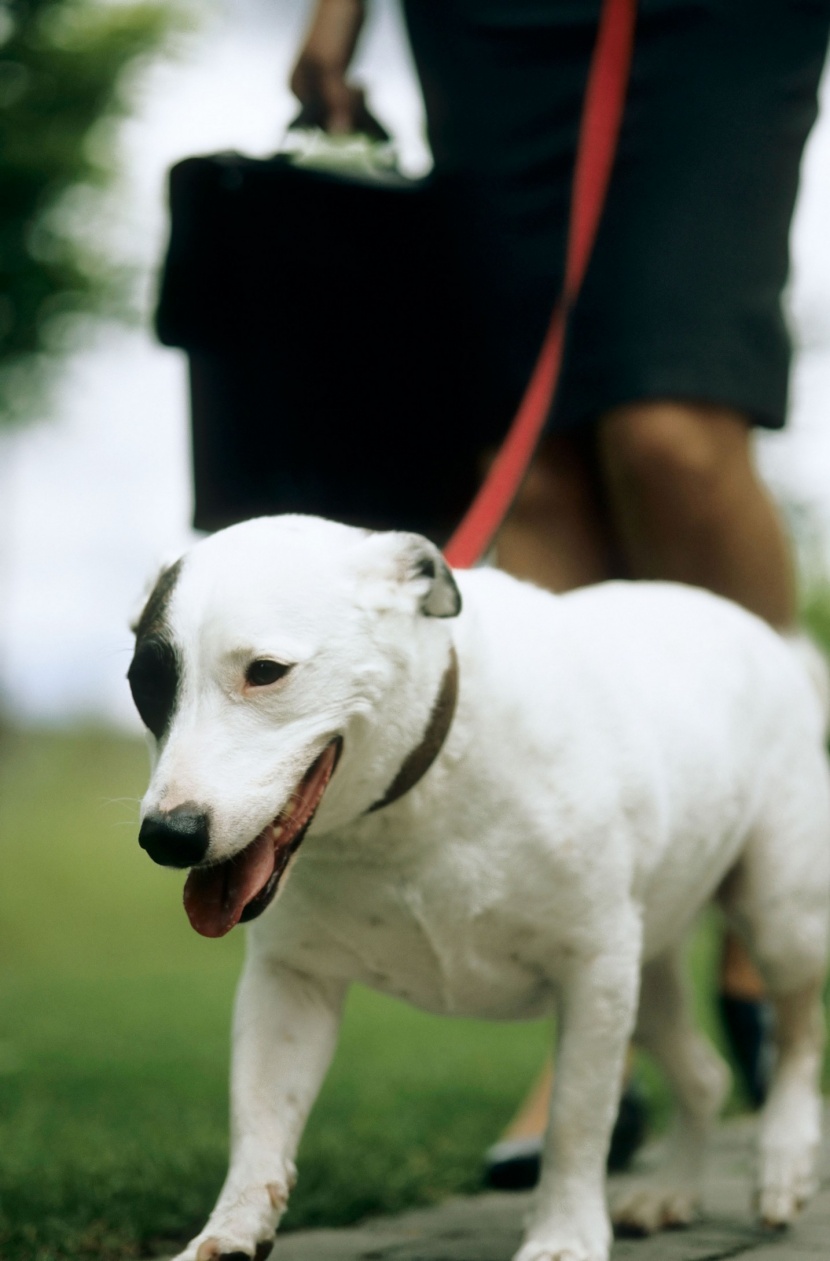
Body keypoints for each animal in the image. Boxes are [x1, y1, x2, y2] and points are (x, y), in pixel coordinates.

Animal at [129, 511, 827, 1261]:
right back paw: (673, 1189)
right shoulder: (291, 979)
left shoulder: (593, 966)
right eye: (145, 682)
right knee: (702, 1076)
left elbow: (577, 1116)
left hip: (776, 911)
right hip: (649, 964)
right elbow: (259, 1118)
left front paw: (563, 1234)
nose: (169, 835)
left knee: (797, 1030)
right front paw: (229, 1231)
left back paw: (785, 1156)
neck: (413, 795)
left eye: (266, 672)